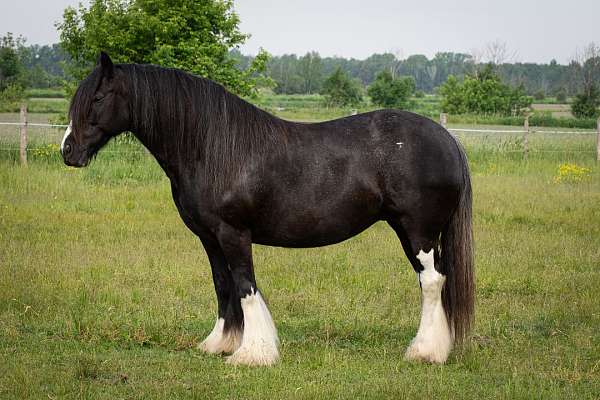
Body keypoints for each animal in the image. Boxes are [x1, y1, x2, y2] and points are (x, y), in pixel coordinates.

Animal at [62, 53, 474, 366]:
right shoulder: (209, 237)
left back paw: (425, 352)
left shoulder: (234, 233)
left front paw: (252, 354)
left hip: (418, 231)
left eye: (97, 98)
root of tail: (447, 139)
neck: (211, 146)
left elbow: (245, 286)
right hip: (409, 231)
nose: (68, 151)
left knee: (431, 281)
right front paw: (220, 343)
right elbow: (223, 285)